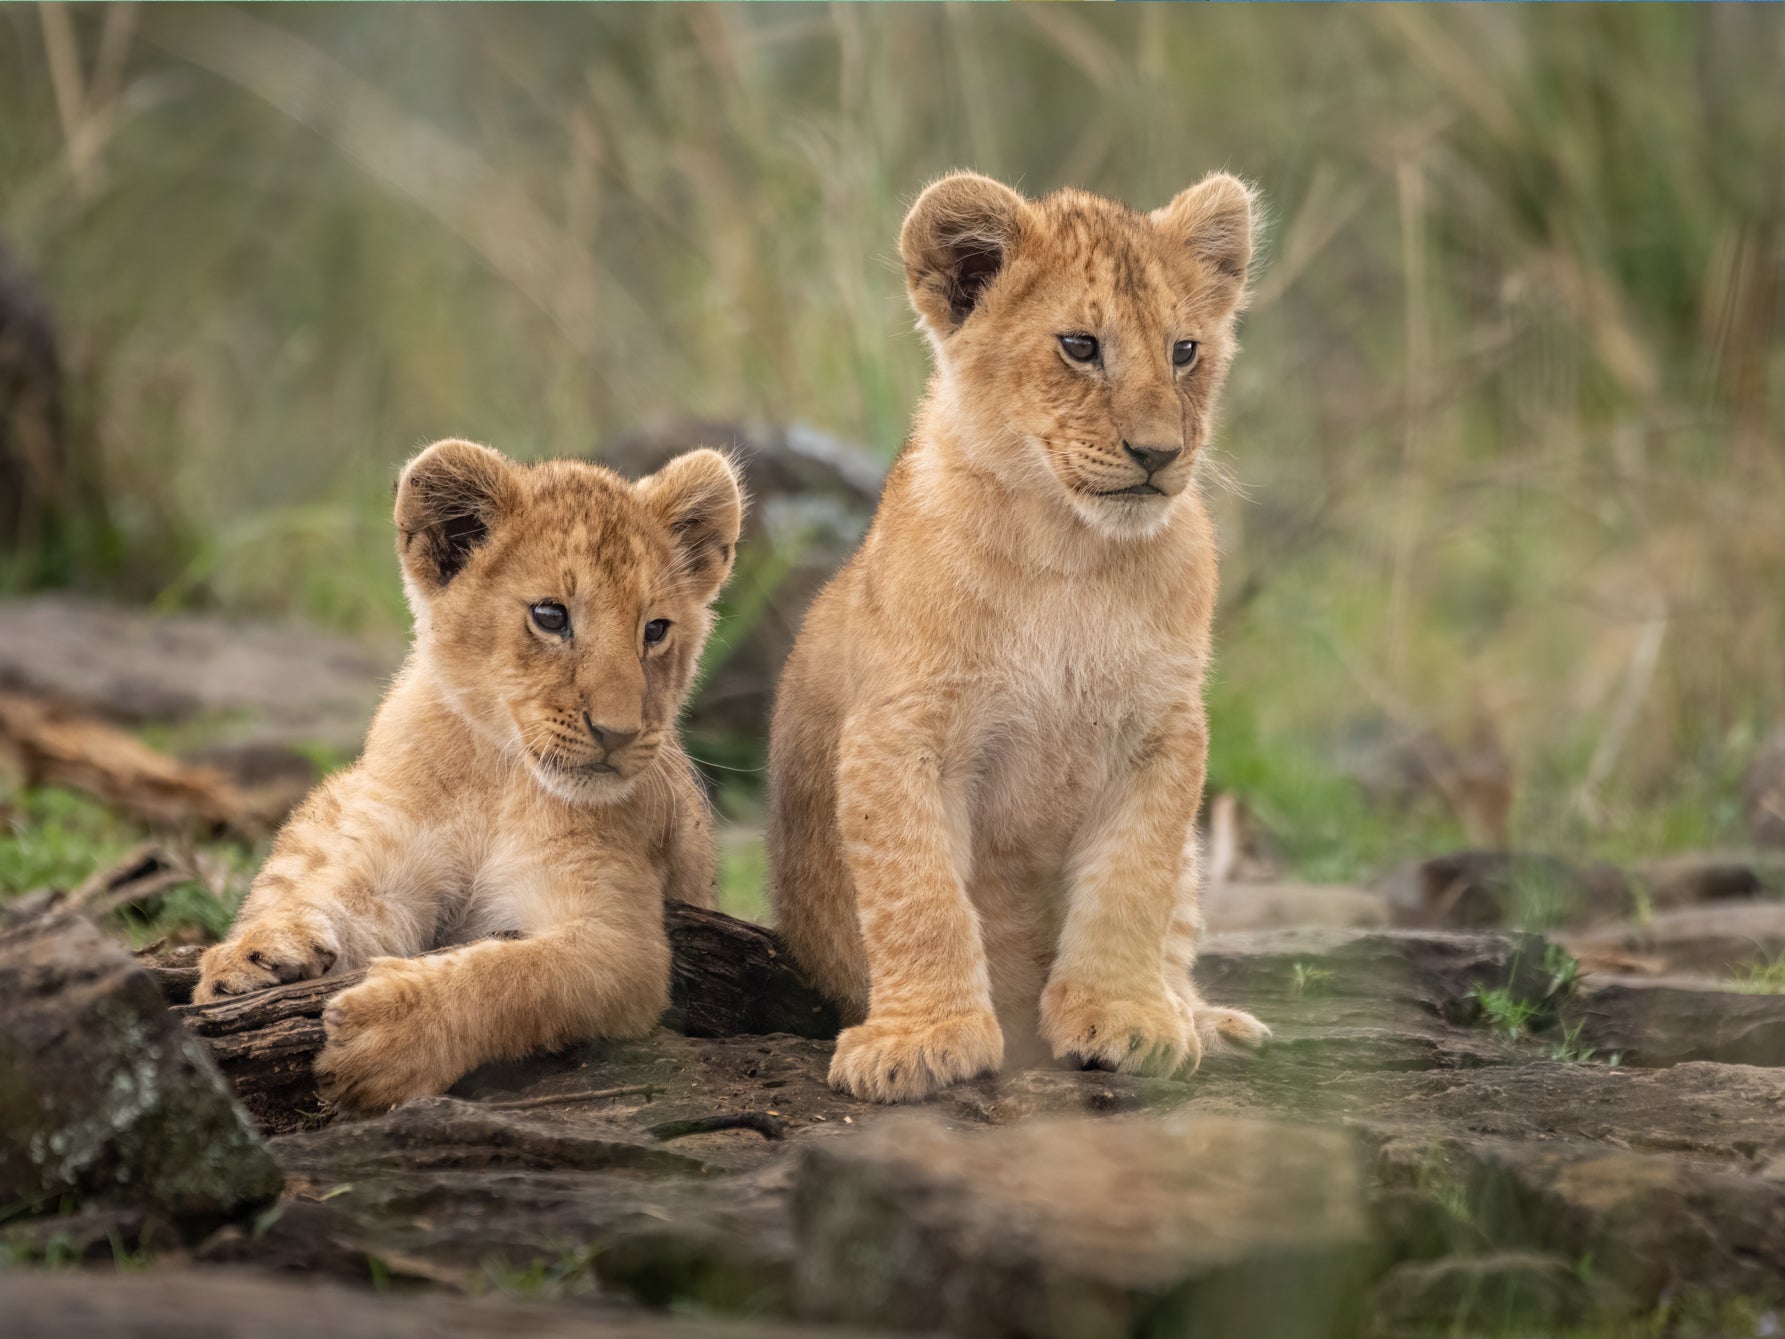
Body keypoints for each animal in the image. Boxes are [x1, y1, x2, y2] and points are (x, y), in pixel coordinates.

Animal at [195, 439, 743, 1114]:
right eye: (550, 616)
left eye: (656, 630)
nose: (617, 733)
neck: (497, 772)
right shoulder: (397, 873)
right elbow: (346, 905)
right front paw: (259, 954)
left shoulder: (624, 943)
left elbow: (520, 975)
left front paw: (392, 1036)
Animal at [768, 170, 1270, 1102]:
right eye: (1079, 345)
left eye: (1184, 351)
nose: (1158, 453)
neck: (1069, 551)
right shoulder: (900, 730)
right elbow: (918, 891)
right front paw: (922, 1039)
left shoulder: (1162, 731)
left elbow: (1132, 883)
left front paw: (1127, 1019)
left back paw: (1201, 1018)